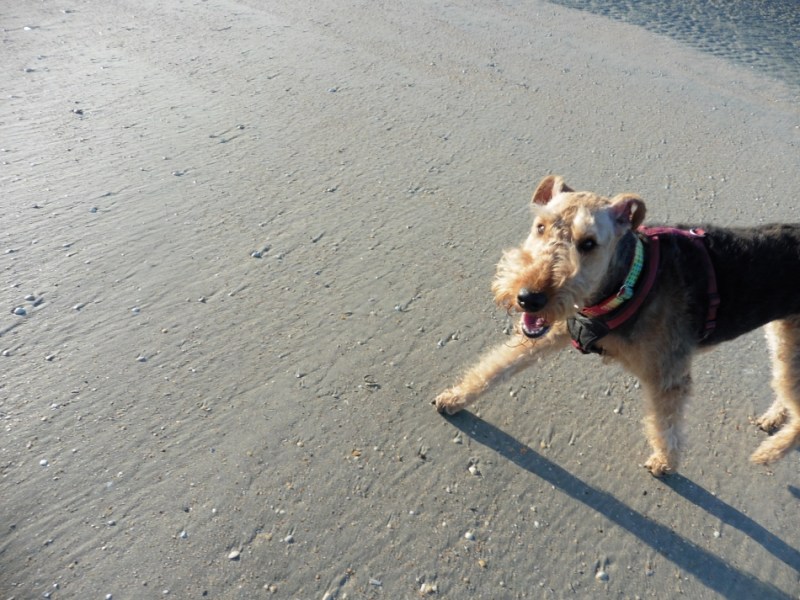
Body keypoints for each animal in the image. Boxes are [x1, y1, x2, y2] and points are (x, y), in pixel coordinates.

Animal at [434, 175, 800, 476]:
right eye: (540, 226)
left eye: (588, 243)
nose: (529, 298)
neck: (627, 280)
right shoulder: (557, 327)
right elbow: (496, 367)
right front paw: (455, 397)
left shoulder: (669, 377)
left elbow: (666, 426)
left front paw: (665, 463)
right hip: (783, 340)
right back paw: (772, 419)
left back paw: (768, 452)